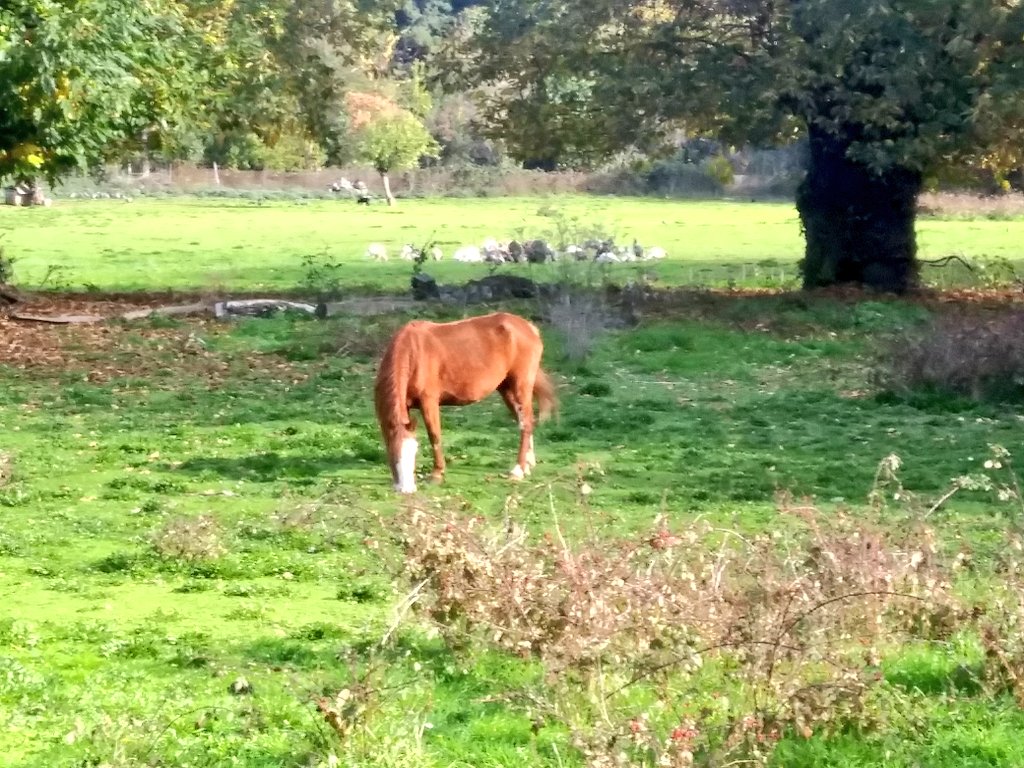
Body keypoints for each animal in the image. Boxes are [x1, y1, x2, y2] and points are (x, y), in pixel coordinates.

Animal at [374, 312, 558, 493]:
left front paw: (437, 474)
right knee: (524, 422)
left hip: (521, 385)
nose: (407, 489)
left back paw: (518, 469)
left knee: (526, 423)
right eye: (393, 453)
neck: (413, 352)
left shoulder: (429, 402)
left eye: (414, 452)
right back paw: (528, 464)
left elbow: (435, 436)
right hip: (506, 389)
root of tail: (529, 327)